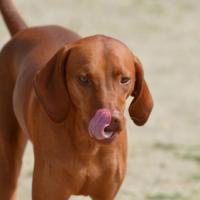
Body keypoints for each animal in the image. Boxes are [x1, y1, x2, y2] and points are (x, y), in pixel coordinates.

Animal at [0, 0, 153, 200]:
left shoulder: (106, 194)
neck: (88, 146)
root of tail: (25, 30)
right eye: (84, 78)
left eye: (125, 79)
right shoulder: (49, 192)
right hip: (9, 163)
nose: (111, 121)